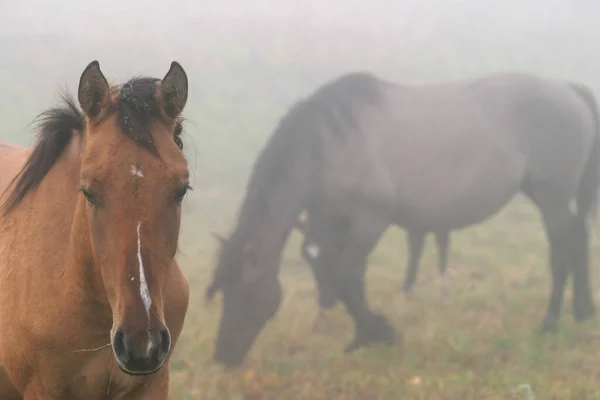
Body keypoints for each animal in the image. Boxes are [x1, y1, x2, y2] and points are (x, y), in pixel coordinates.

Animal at [206, 71, 600, 366]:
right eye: (221, 290)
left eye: (245, 292)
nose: (224, 355)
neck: (334, 144)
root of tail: (568, 89)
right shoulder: (331, 220)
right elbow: (335, 271)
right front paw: (362, 333)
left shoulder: (369, 221)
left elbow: (347, 276)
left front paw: (379, 334)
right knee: (578, 239)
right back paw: (582, 312)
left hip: (551, 196)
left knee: (562, 250)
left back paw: (550, 323)